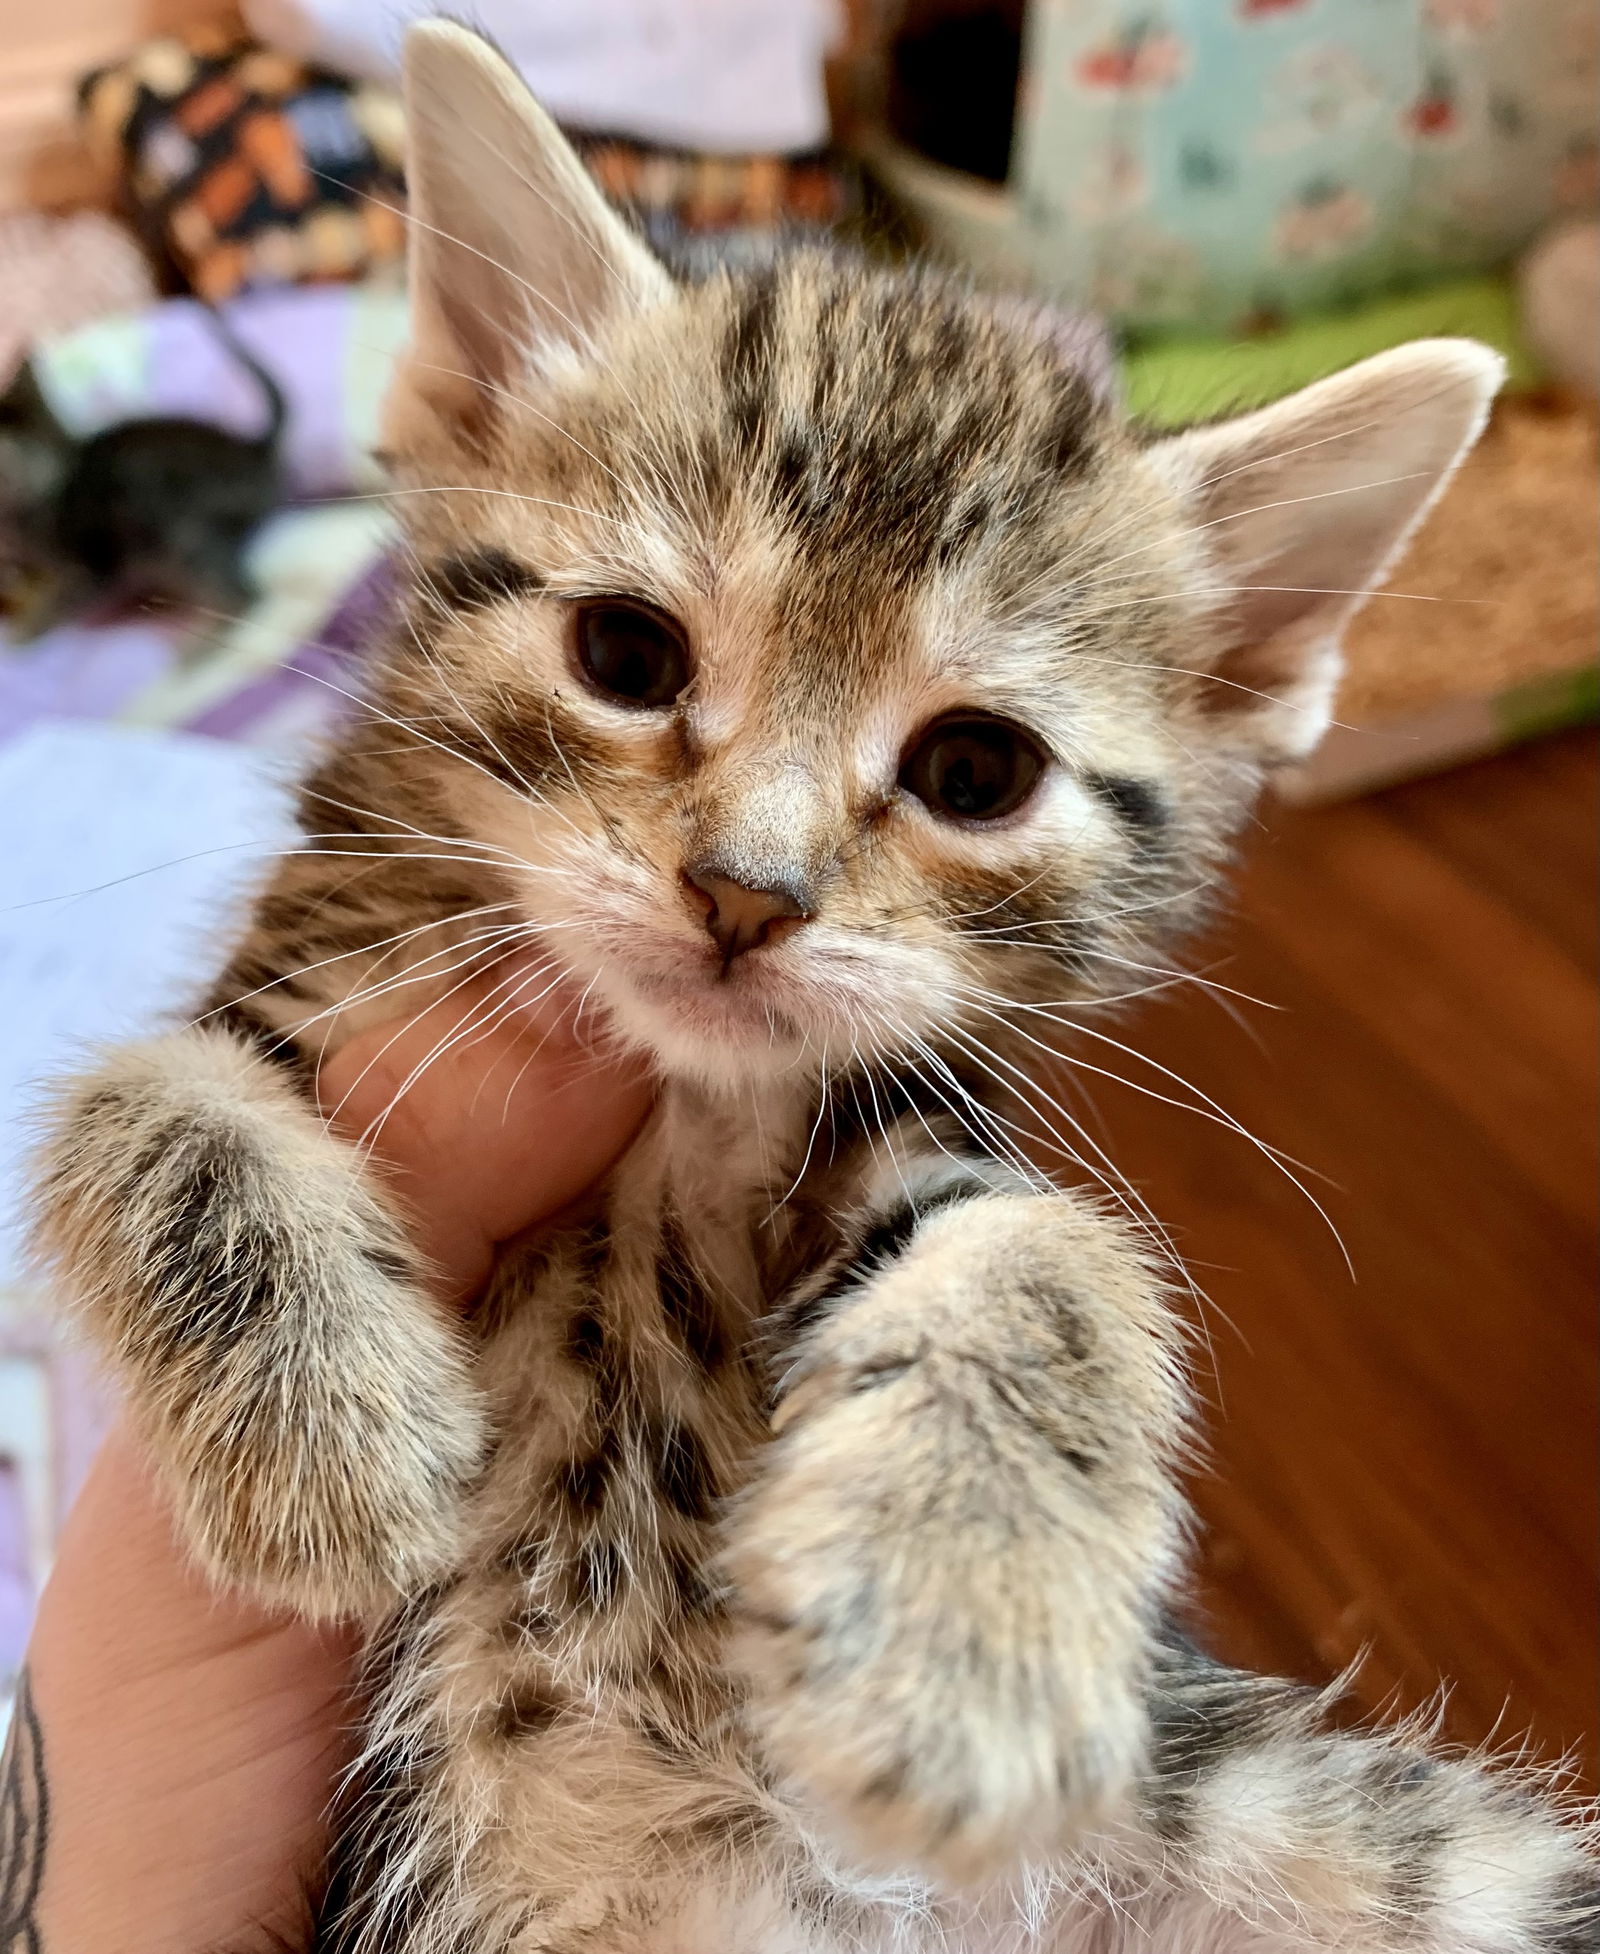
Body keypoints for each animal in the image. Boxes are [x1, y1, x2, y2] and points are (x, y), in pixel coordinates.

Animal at [0, 306, 285, 640]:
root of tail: (256, 449)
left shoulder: (96, 562)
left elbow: (64, 600)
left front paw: (27, 631)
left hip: (182, 534)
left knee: (244, 595)